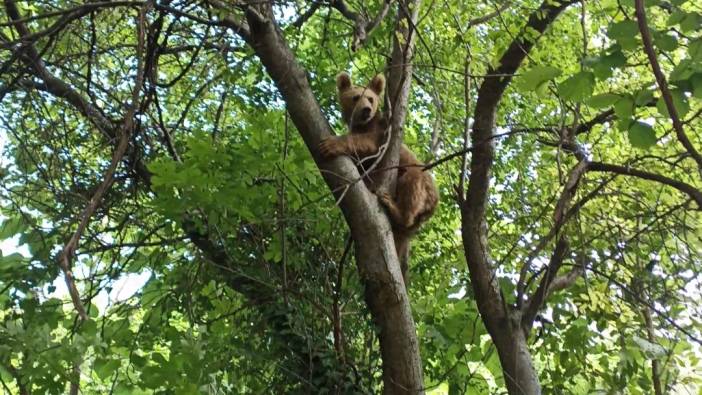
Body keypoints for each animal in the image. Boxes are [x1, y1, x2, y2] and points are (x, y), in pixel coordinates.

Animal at [320, 72, 440, 284]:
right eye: (356, 97)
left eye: (371, 98)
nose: (366, 110)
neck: (362, 124)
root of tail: (433, 205)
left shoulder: (381, 135)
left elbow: (365, 143)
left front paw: (330, 144)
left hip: (420, 182)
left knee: (412, 183)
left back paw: (393, 206)